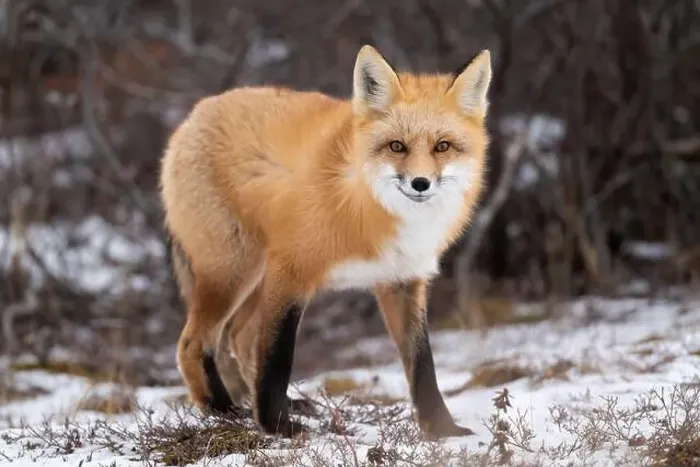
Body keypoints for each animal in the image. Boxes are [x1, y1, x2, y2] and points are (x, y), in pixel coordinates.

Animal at [159, 44, 492, 438]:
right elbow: (277, 356)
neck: (365, 201)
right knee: (194, 343)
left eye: (443, 146)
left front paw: (442, 429)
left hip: (253, 279)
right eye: (396, 146)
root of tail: (194, 114)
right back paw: (223, 410)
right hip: (233, 273)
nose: (421, 183)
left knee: (239, 338)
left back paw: (268, 404)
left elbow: (422, 364)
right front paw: (277, 428)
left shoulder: (402, 280)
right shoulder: (291, 270)